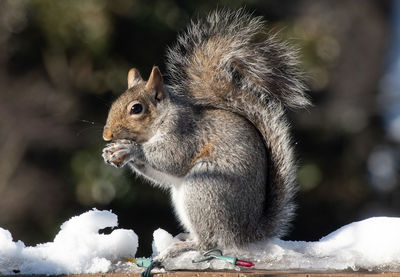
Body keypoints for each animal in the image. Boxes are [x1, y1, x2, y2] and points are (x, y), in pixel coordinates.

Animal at [101, 9, 308, 256]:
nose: (107, 136)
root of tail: (246, 233)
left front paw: (131, 149)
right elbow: (163, 174)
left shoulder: (184, 133)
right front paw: (111, 153)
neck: (162, 120)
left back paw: (184, 247)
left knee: (210, 242)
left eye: (136, 109)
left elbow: (172, 159)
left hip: (204, 188)